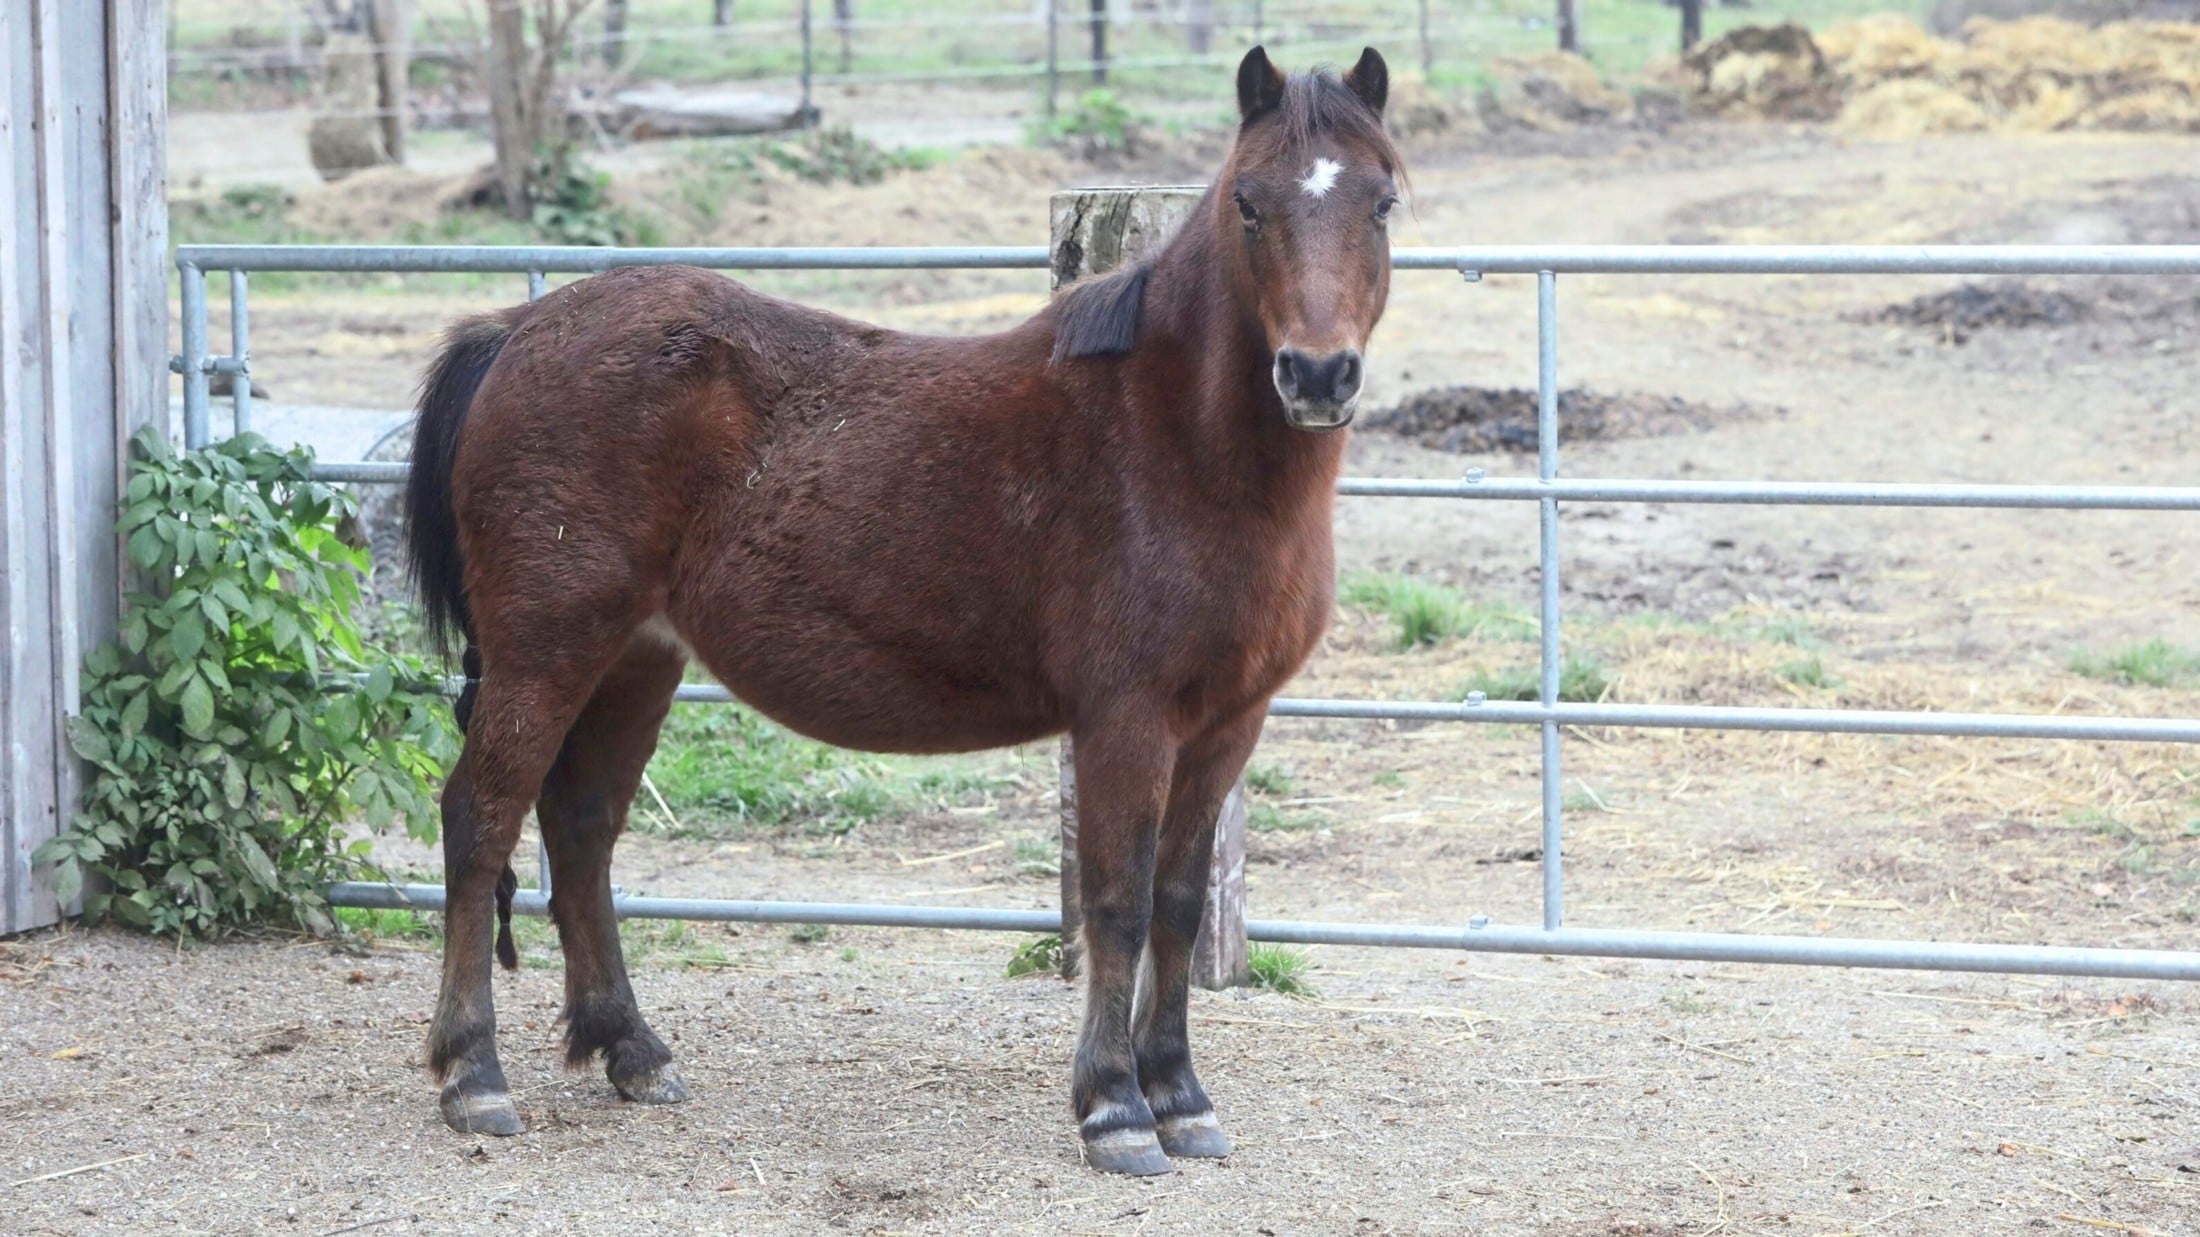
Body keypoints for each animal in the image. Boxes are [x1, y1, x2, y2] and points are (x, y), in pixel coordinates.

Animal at [404, 45, 1399, 1162]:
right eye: (1248, 204)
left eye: (1382, 201)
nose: (1317, 373)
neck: (1174, 442)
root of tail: (517, 328)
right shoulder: (1126, 720)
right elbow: (1118, 905)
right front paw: (1113, 1107)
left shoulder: (1229, 721)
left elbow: (1180, 905)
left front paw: (1181, 1095)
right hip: (546, 652)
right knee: (480, 820)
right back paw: (474, 1074)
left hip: (635, 659)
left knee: (579, 829)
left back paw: (633, 1051)